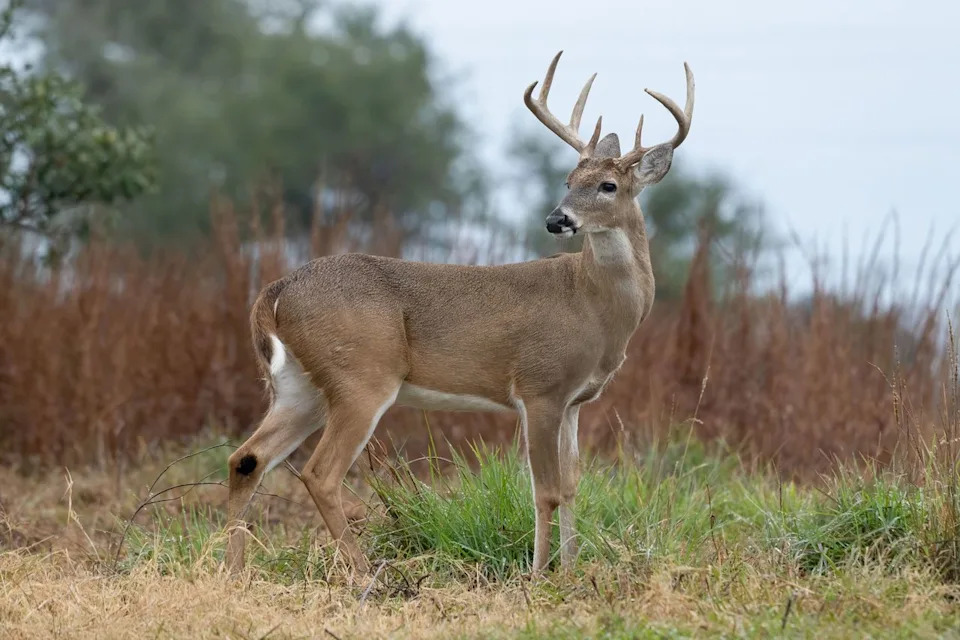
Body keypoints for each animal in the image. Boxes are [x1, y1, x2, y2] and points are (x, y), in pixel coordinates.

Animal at [225, 51, 694, 576]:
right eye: (569, 182)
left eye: (608, 185)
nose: (556, 219)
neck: (592, 303)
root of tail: (276, 291)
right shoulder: (539, 387)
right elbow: (546, 491)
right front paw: (539, 575)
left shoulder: (576, 400)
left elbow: (574, 485)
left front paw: (571, 571)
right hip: (361, 376)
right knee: (319, 473)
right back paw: (365, 574)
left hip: (300, 385)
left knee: (247, 458)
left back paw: (232, 569)